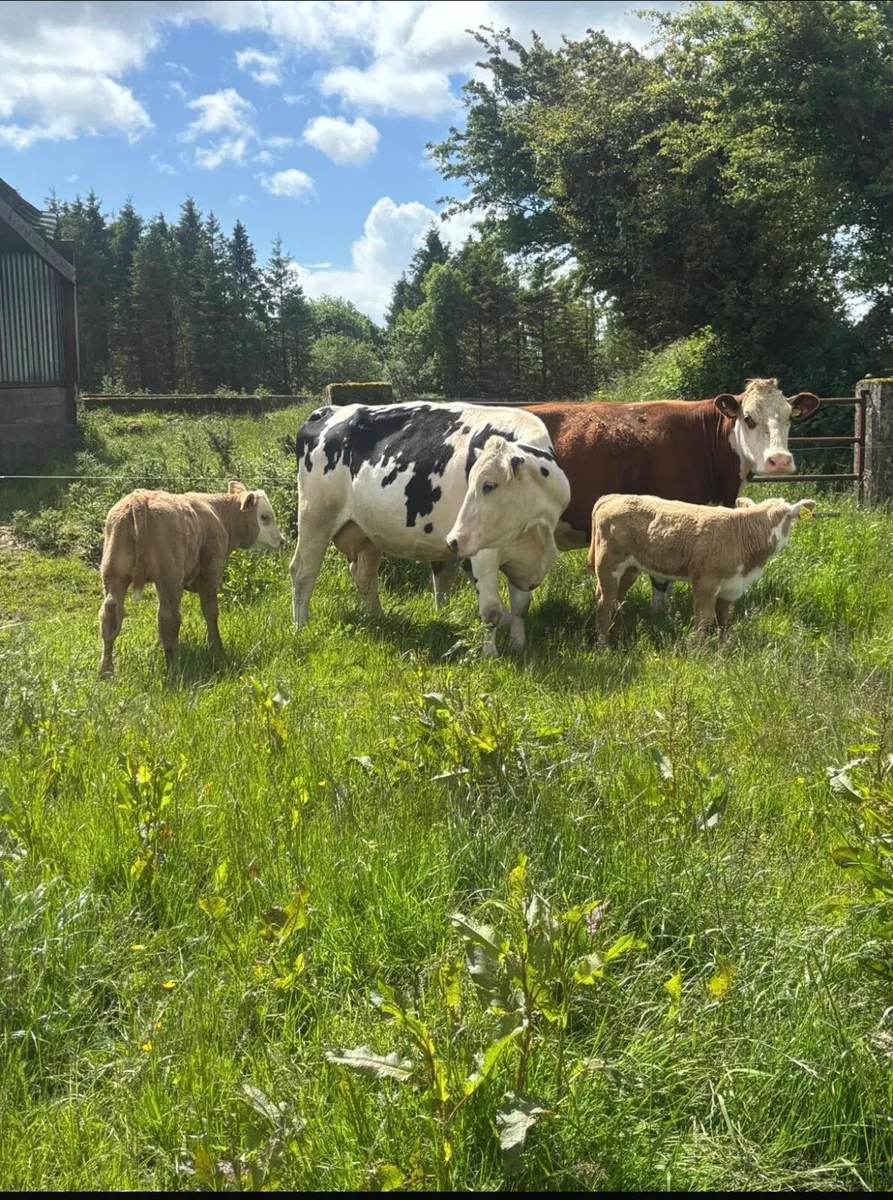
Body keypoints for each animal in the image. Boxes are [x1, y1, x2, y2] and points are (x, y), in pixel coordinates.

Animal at [98, 481, 286, 678]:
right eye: (264, 517)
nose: (282, 541)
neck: (218, 514)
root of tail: (140, 498)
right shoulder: (210, 573)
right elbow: (211, 611)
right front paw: (216, 647)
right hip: (170, 579)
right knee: (169, 618)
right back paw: (174, 671)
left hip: (115, 577)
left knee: (111, 615)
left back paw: (106, 671)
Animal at [289, 402, 571, 656]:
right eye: (472, 482)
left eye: (489, 485)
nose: (454, 539)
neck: (535, 529)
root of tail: (329, 410)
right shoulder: (484, 552)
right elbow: (491, 611)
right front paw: (490, 655)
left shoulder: (524, 555)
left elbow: (520, 606)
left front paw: (519, 646)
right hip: (316, 515)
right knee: (303, 571)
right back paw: (300, 627)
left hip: (365, 531)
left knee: (365, 575)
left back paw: (379, 619)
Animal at [588, 492, 816, 643]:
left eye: (789, 518)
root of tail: (613, 497)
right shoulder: (705, 582)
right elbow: (704, 620)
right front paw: (700, 655)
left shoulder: (731, 586)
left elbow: (725, 621)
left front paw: (724, 651)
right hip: (608, 564)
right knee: (604, 601)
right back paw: (604, 645)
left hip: (630, 569)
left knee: (617, 599)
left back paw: (616, 635)